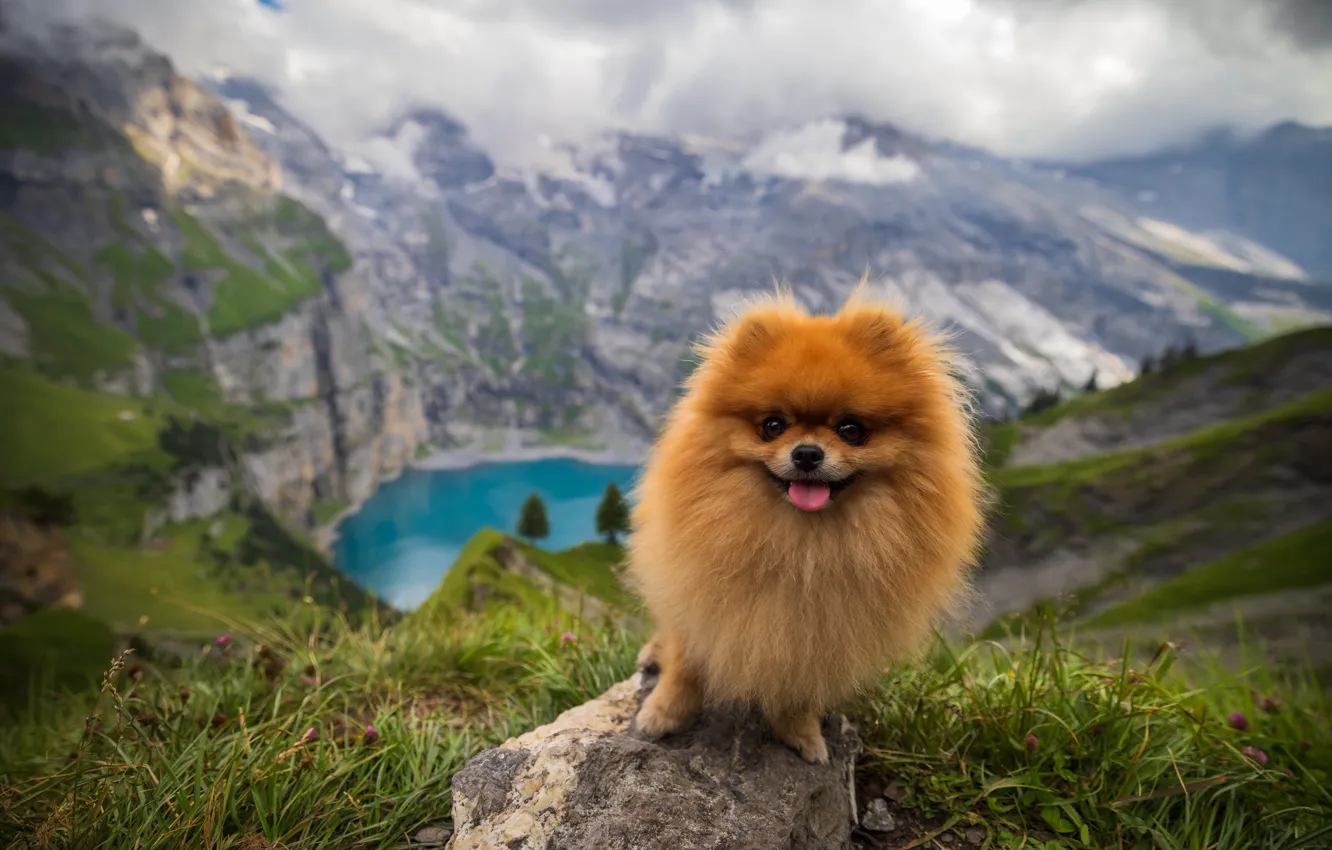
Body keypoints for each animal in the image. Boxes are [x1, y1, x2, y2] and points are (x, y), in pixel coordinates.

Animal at [626, 287, 991, 767]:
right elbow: (685, 667)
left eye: (852, 430)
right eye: (772, 425)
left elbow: (798, 690)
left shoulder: (815, 634)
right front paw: (662, 715)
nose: (806, 453)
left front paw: (800, 733)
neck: (804, 546)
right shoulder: (700, 600)